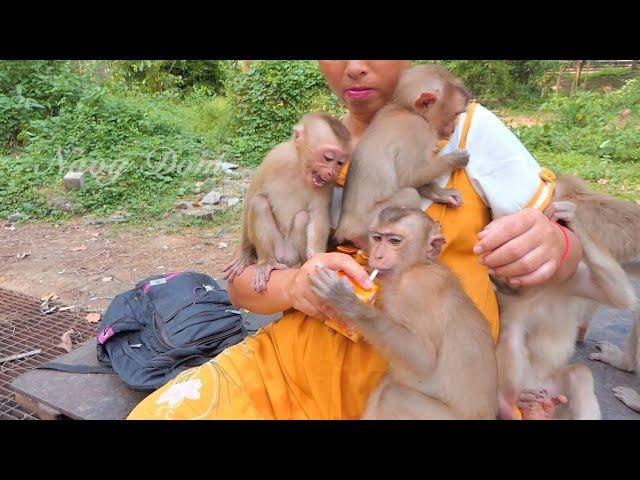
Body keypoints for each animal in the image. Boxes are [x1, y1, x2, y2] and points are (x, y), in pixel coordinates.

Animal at [224, 113, 350, 292]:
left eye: (340, 163)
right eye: (328, 158)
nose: (332, 172)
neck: (299, 168)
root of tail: (284, 257)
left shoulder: (327, 184)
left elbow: (318, 214)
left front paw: (316, 255)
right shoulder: (273, 158)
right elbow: (251, 197)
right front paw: (245, 255)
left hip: (293, 253)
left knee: (302, 217)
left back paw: (302, 263)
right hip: (276, 248)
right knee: (259, 203)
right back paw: (266, 262)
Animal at [310, 199, 500, 416]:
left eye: (394, 241)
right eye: (377, 238)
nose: (377, 256)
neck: (413, 267)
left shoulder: (417, 289)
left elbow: (423, 358)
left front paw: (349, 304)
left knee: (392, 396)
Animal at [336, 65, 470, 249]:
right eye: (456, 114)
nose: (453, 128)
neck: (407, 109)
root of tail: (343, 229)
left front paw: (440, 193)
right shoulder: (419, 131)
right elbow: (409, 176)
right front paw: (455, 159)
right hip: (369, 222)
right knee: (409, 194)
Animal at [496, 199, 636, 420]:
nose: (507, 282)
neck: (539, 290)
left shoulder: (570, 279)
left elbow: (620, 296)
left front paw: (569, 218)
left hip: (557, 395)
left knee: (579, 375)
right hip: (530, 385)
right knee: (512, 336)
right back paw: (520, 407)